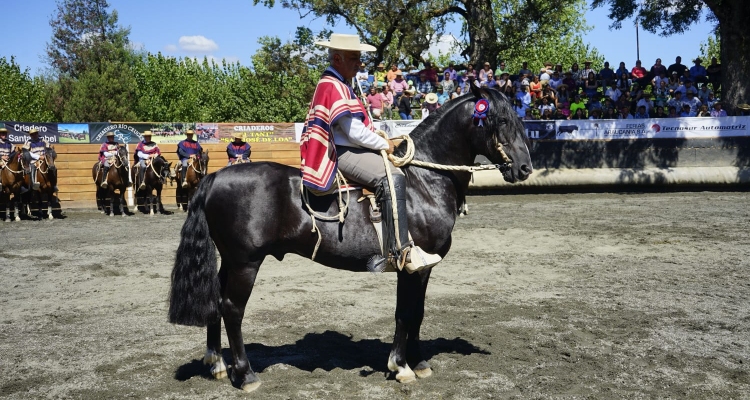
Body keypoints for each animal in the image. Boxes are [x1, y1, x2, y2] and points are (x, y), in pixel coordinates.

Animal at [170, 85, 536, 394]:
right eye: (502, 120)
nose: (524, 168)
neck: (424, 182)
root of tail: (215, 177)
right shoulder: (413, 266)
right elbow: (407, 313)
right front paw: (401, 366)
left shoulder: (420, 268)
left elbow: (415, 312)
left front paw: (417, 362)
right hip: (246, 263)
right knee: (232, 309)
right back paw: (245, 374)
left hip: (230, 261)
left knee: (216, 302)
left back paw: (217, 363)